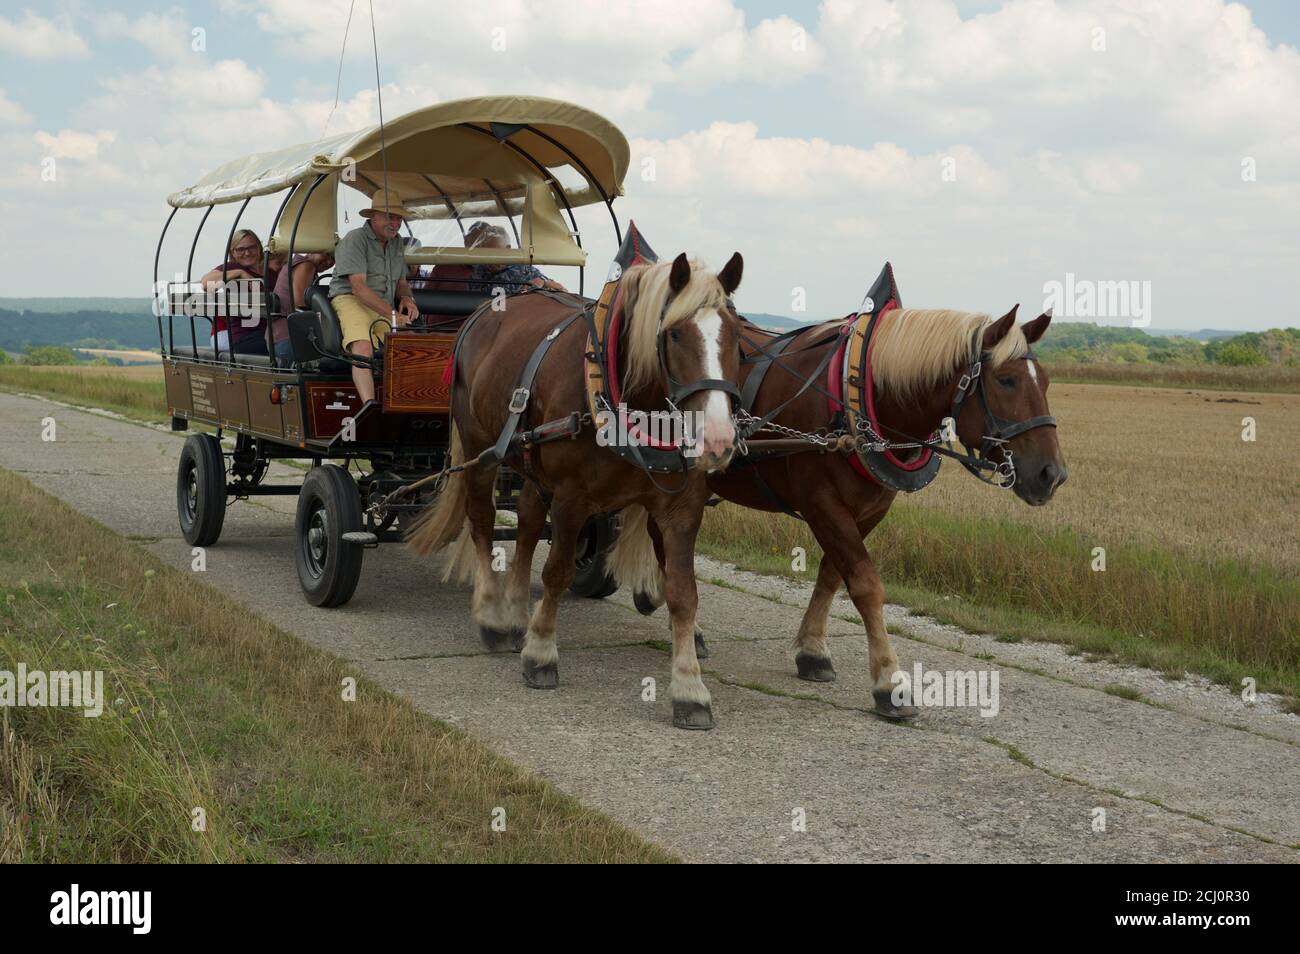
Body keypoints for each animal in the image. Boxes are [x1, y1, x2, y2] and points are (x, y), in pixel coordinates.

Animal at [408, 252, 746, 730]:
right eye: (675, 334)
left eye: (737, 336)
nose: (717, 440)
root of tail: (480, 315)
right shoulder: (570, 497)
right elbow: (557, 572)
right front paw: (541, 653)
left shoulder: (681, 507)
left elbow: (683, 591)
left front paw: (689, 686)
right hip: (479, 447)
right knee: (483, 521)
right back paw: (493, 615)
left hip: (529, 459)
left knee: (528, 520)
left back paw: (516, 612)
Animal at [612, 294, 1067, 720]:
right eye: (1006, 380)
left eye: (1045, 381)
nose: (1052, 474)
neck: (857, 398)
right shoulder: (822, 504)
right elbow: (866, 584)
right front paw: (889, 682)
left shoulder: (869, 510)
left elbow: (832, 575)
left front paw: (813, 651)